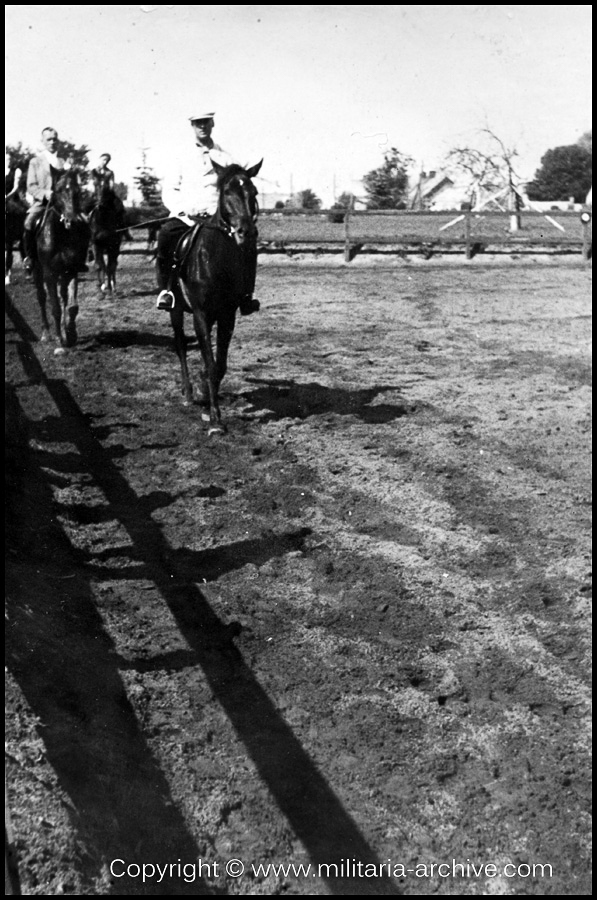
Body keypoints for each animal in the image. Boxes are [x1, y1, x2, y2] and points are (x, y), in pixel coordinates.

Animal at [33, 171, 91, 354]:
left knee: (64, 296)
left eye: (78, 192)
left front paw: (70, 334)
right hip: (37, 272)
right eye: (58, 191)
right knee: (42, 298)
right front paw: (60, 338)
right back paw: (46, 334)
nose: (71, 221)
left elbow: (72, 306)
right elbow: (55, 308)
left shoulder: (72, 270)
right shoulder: (49, 274)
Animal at [168, 158, 260, 436]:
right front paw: (216, 420)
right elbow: (209, 363)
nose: (246, 232)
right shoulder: (200, 314)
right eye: (226, 192)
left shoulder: (227, 315)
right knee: (181, 346)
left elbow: (218, 366)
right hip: (176, 311)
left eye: (253, 192)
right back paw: (188, 393)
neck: (215, 260)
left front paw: (209, 403)